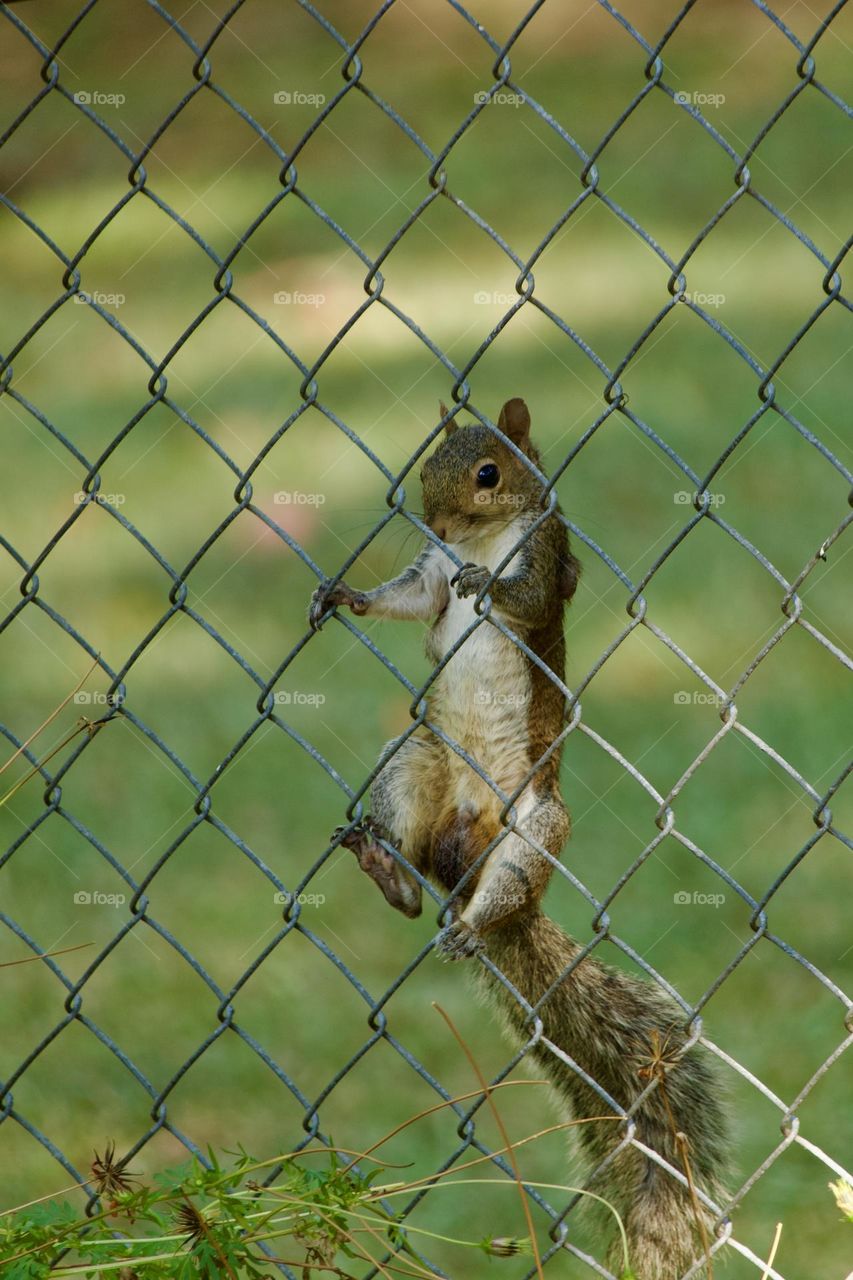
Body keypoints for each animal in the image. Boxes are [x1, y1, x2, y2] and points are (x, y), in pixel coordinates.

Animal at [309, 397, 728, 1279]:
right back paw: (387, 871)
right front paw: (347, 593)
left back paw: (472, 926)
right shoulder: (428, 571)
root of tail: (460, 871)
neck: (475, 540)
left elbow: (530, 597)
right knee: (409, 877)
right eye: (426, 464)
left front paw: (487, 587)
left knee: (499, 893)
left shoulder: (547, 552)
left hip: (535, 822)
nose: (432, 518)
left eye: (488, 471)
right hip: (413, 761)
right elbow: (412, 597)